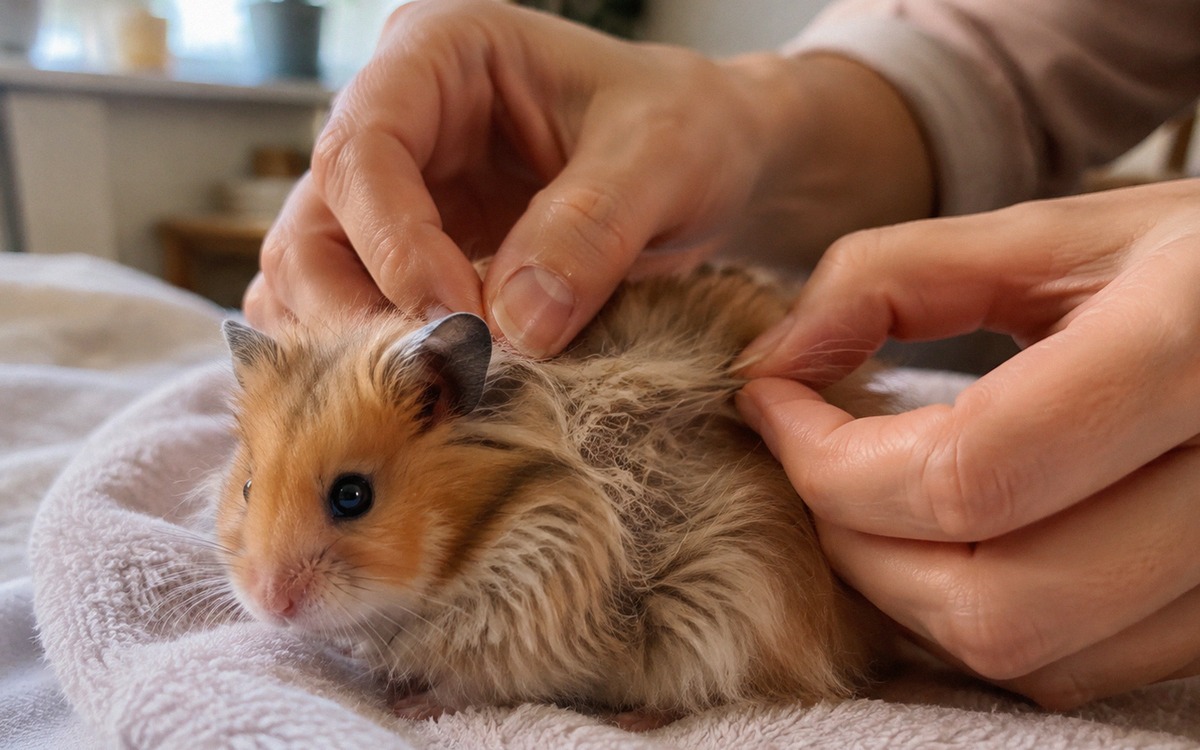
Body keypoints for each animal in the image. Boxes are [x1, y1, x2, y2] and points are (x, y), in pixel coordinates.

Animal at [216, 265, 892, 728]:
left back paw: (631, 720)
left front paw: (407, 707)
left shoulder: (529, 640)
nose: (271, 602)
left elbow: (469, 686)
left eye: (352, 495)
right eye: (247, 488)